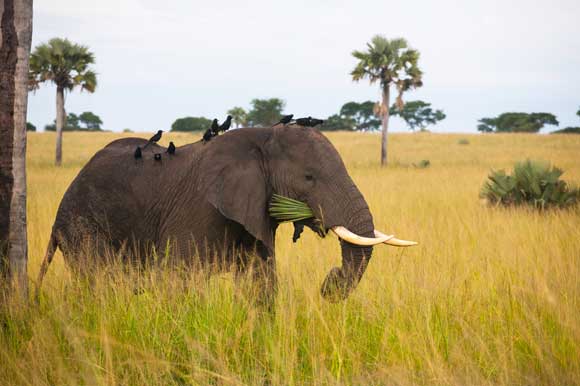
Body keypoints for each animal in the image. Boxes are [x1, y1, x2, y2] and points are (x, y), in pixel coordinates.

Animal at [36, 126, 414, 302]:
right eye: (309, 177)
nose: (328, 282)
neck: (263, 135)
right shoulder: (197, 209)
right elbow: (181, 283)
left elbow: (263, 283)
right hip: (83, 226)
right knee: (100, 281)